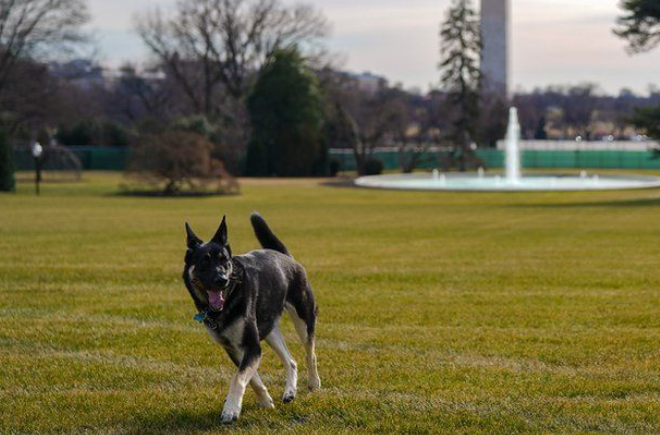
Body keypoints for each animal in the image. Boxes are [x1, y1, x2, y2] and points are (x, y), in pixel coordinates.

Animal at [182, 213, 320, 424]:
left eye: (225, 261)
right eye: (204, 262)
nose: (222, 280)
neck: (229, 299)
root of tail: (286, 256)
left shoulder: (252, 346)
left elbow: (238, 377)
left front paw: (231, 409)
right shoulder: (235, 348)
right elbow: (252, 378)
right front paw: (265, 402)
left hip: (303, 318)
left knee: (309, 352)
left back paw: (313, 382)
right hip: (269, 329)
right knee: (291, 360)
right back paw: (289, 392)